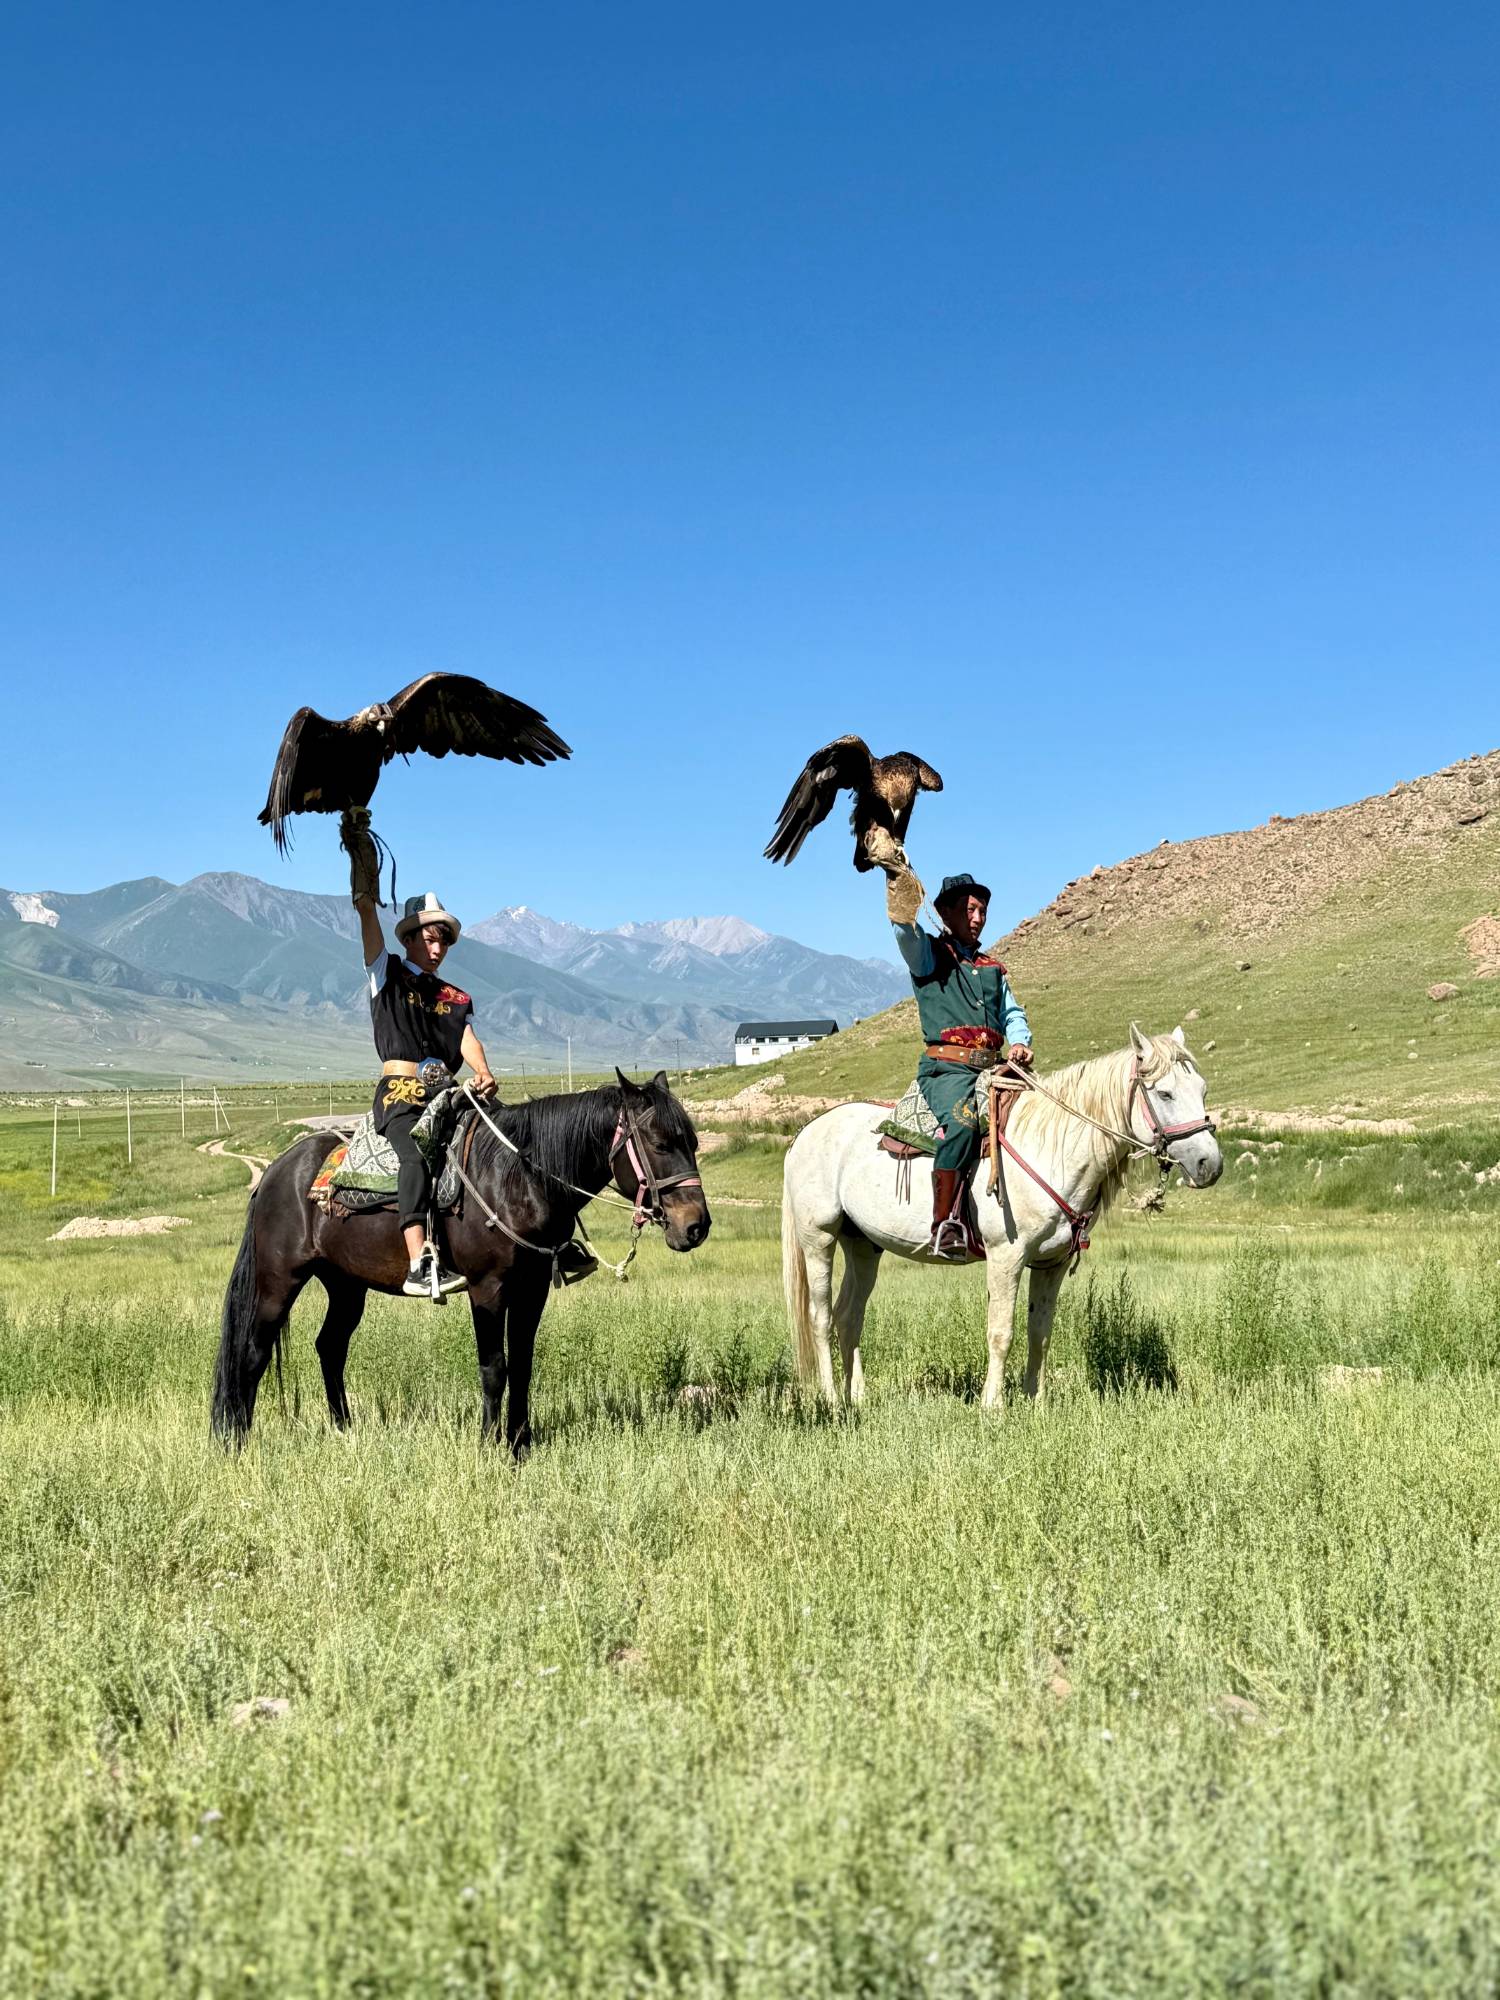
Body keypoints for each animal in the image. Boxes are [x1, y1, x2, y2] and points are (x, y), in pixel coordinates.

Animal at [211, 1069, 710, 1453]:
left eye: (692, 1142)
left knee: (330, 1347)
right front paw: (490, 1446)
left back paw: (344, 1430)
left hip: (346, 1285)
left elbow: (523, 1365)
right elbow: (494, 1367)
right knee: (253, 1352)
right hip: (279, 1280)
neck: (519, 1179)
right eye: (660, 1144)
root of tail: (275, 1172)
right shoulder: (486, 1288)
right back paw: (237, 1440)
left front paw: (521, 1444)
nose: (696, 1226)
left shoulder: (532, 1289)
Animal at [780, 1026, 1222, 1408]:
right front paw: (993, 1406)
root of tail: (806, 1132)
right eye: (1164, 1093)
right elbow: (1001, 1332)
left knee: (848, 1315)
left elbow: (1039, 1332)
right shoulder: (1006, 1257)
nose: (1210, 1164)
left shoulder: (1050, 1264)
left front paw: (1035, 1402)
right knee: (820, 1316)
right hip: (819, 1238)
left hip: (863, 1245)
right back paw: (831, 1399)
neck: (1051, 1148)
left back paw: (857, 1396)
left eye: (1202, 1089)